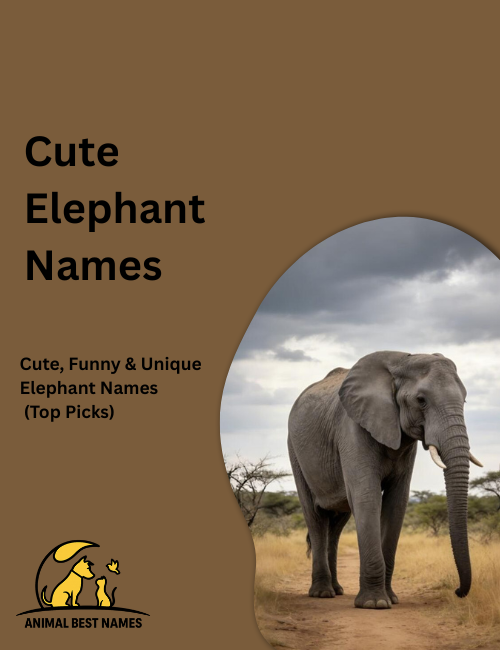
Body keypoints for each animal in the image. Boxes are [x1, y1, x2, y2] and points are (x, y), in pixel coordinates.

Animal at [288, 351, 483, 609]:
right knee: (316, 517)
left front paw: (391, 599)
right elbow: (367, 496)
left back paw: (337, 590)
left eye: (465, 400)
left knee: (337, 524)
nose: (458, 591)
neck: (402, 361)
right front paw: (375, 604)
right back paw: (322, 593)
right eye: (421, 400)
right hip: (294, 450)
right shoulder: (352, 428)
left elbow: (396, 503)